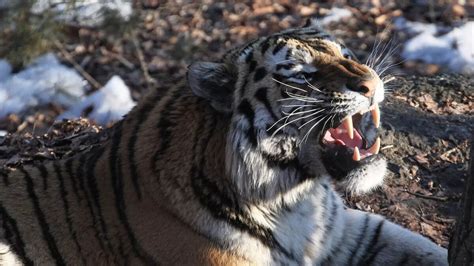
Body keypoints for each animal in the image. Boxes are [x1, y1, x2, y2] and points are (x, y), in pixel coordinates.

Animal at [0, 21, 448, 264]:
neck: (294, 198)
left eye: (347, 54)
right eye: (301, 73)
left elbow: (423, 248)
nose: (371, 84)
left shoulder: (348, 235)